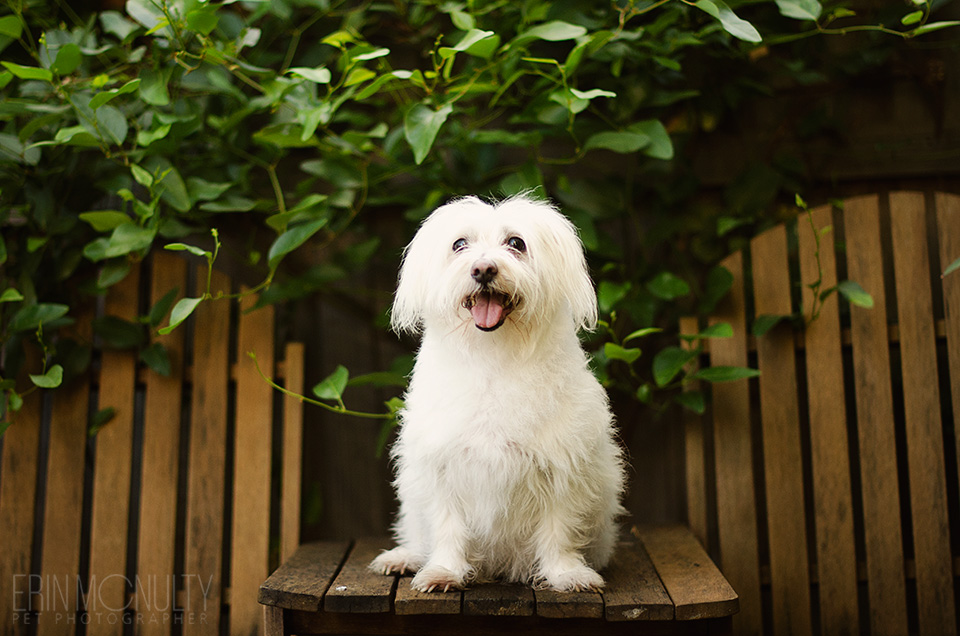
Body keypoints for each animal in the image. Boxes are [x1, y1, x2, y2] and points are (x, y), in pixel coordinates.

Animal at [372, 196, 628, 592]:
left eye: (516, 243)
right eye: (460, 244)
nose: (483, 269)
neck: (494, 355)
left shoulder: (563, 467)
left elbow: (559, 529)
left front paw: (566, 573)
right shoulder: (441, 467)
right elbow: (447, 528)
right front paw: (443, 571)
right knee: (417, 535)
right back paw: (404, 558)